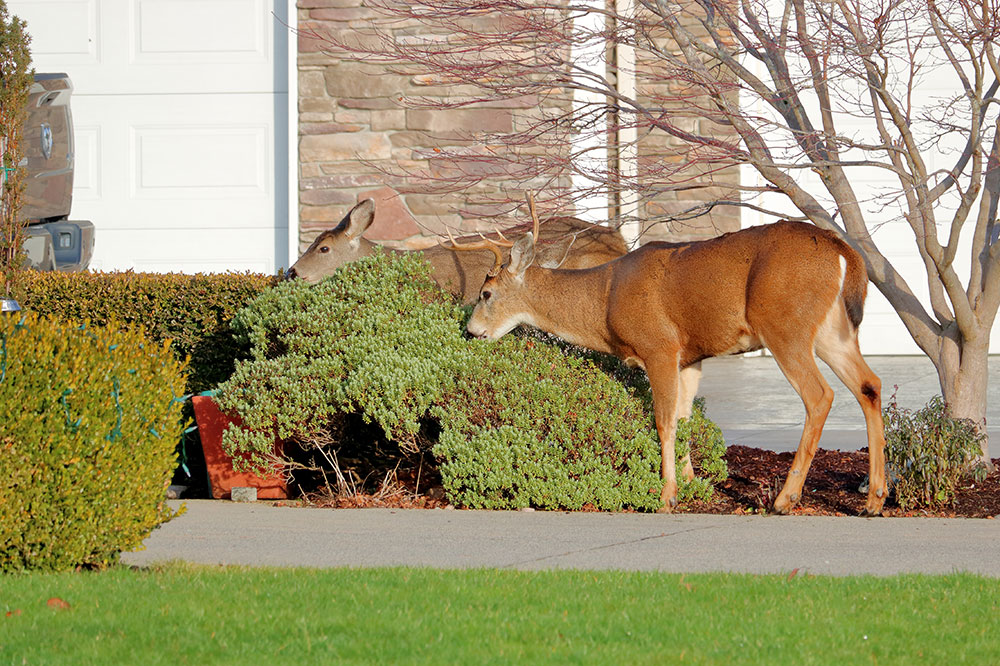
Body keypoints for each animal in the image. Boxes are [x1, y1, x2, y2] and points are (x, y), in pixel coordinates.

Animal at [458, 210, 888, 510]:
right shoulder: (689, 357)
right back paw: (874, 498)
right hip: (833, 330)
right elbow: (683, 419)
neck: (604, 300)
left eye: (485, 293)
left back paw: (787, 499)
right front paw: (691, 484)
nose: (471, 330)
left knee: (820, 396)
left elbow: (663, 421)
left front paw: (666, 495)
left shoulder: (659, 346)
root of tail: (841, 250)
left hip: (785, 325)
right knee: (870, 385)